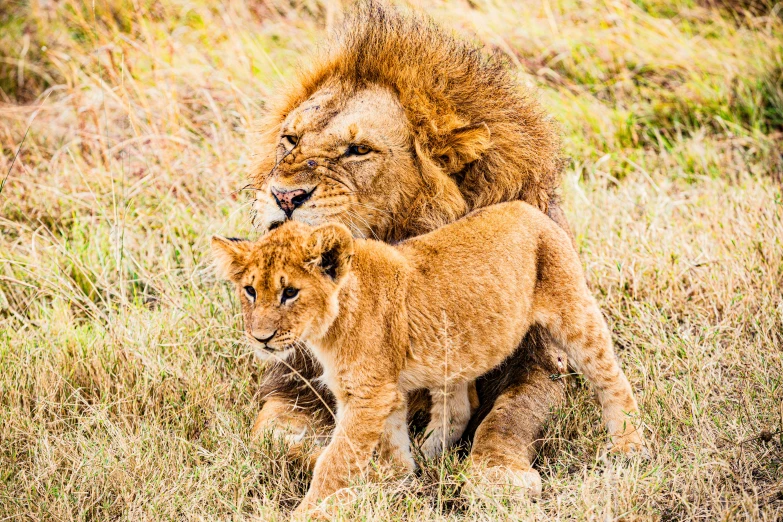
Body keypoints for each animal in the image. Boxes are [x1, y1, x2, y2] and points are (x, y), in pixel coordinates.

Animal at [250, 0, 568, 492]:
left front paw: (498, 475)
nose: (284, 197)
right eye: (290, 139)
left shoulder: (543, 359)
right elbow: (278, 438)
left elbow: (512, 413)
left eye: (358, 150)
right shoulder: (296, 374)